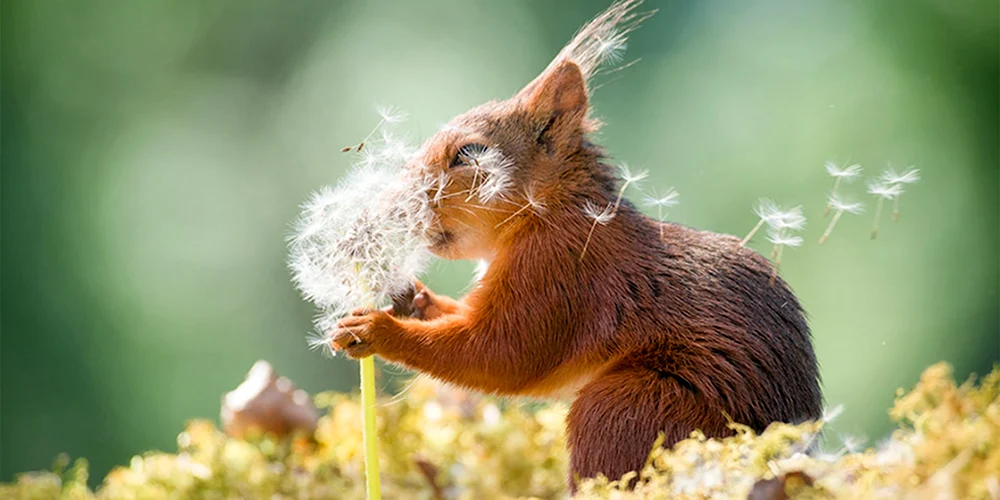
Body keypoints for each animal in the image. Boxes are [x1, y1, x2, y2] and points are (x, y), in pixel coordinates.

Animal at [330, 0, 820, 486]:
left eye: (469, 153)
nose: (394, 204)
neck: (547, 211)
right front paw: (413, 299)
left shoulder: (560, 270)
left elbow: (501, 354)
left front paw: (377, 330)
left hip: (629, 406)